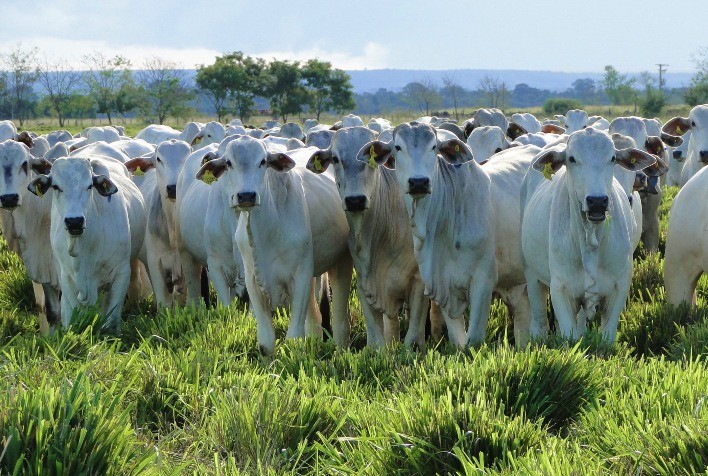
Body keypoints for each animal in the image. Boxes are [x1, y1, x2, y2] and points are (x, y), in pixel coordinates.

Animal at [29, 156, 147, 330]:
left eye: (89, 186)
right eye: (56, 186)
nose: (74, 222)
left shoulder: (121, 273)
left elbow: (112, 322)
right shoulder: (67, 278)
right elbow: (74, 317)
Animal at [306, 126, 432, 348]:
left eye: (369, 160)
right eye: (335, 159)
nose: (355, 200)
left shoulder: (418, 282)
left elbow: (412, 335)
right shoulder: (366, 284)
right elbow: (377, 339)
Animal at [520, 127, 660, 342]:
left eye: (612, 158)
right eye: (571, 158)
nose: (597, 201)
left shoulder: (618, 289)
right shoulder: (561, 290)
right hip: (532, 276)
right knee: (539, 323)